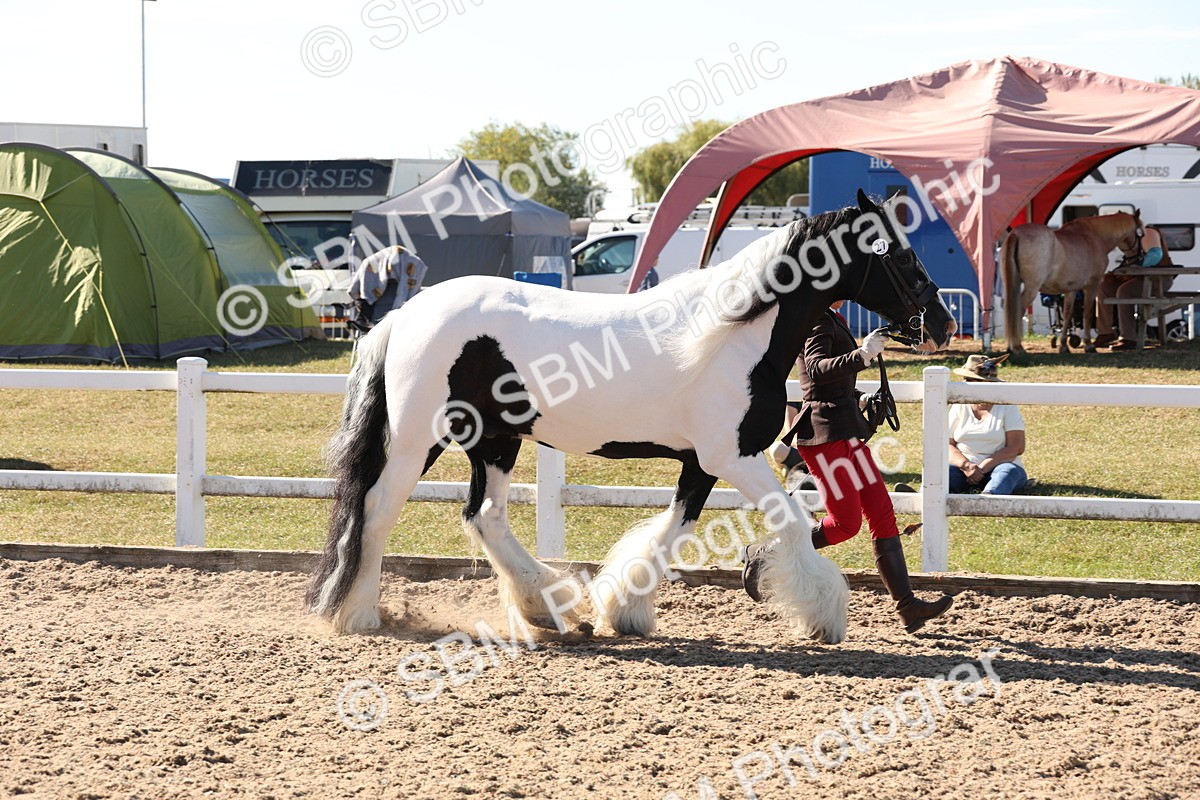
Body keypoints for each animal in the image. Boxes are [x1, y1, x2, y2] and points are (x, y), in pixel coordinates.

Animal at [304, 190, 957, 646]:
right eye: (899, 254)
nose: (943, 323)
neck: (737, 335)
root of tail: (406, 314)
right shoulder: (734, 456)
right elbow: (794, 523)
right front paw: (824, 616)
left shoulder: (701, 461)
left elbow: (672, 530)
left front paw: (624, 610)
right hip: (421, 438)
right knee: (378, 508)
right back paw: (361, 614)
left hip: (495, 440)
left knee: (484, 517)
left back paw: (550, 608)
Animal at [1002, 210, 1144, 354]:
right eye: (1142, 234)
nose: (1140, 257)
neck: (1093, 236)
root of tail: (1016, 234)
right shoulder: (1092, 285)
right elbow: (1088, 314)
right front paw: (1088, 345)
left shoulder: (1071, 289)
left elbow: (1067, 315)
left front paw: (1064, 346)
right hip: (1032, 287)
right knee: (1018, 309)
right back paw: (1017, 347)